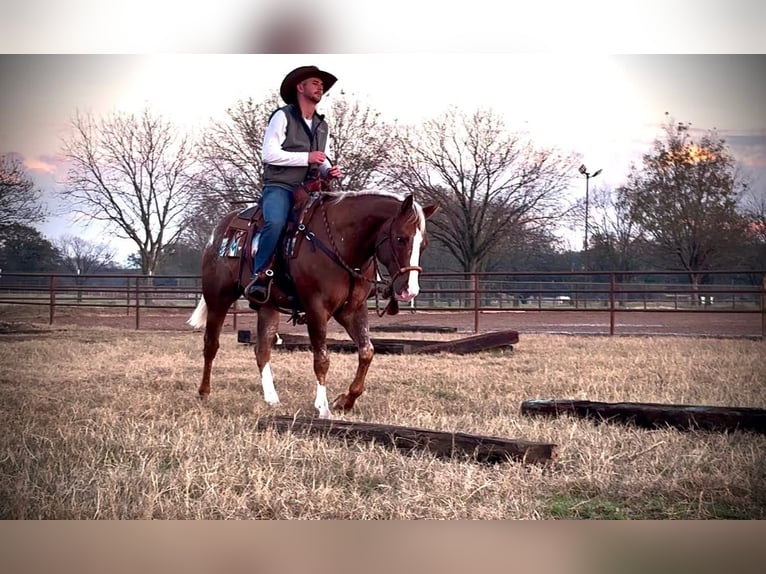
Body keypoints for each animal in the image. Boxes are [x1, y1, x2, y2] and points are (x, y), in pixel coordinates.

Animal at [187, 186, 438, 418]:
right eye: (401, 239)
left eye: (424, 244)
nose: (410, 290)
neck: (341, 243)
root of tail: (218, 233)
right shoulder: (316, 308)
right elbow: (322, 358)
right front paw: (323, 407)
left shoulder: (353, 310)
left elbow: (367, 351)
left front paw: (345, 401)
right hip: (218, 298)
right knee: (211, 344)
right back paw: (204, 392)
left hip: (268, 307)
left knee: (262, 349)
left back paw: (272, 398)